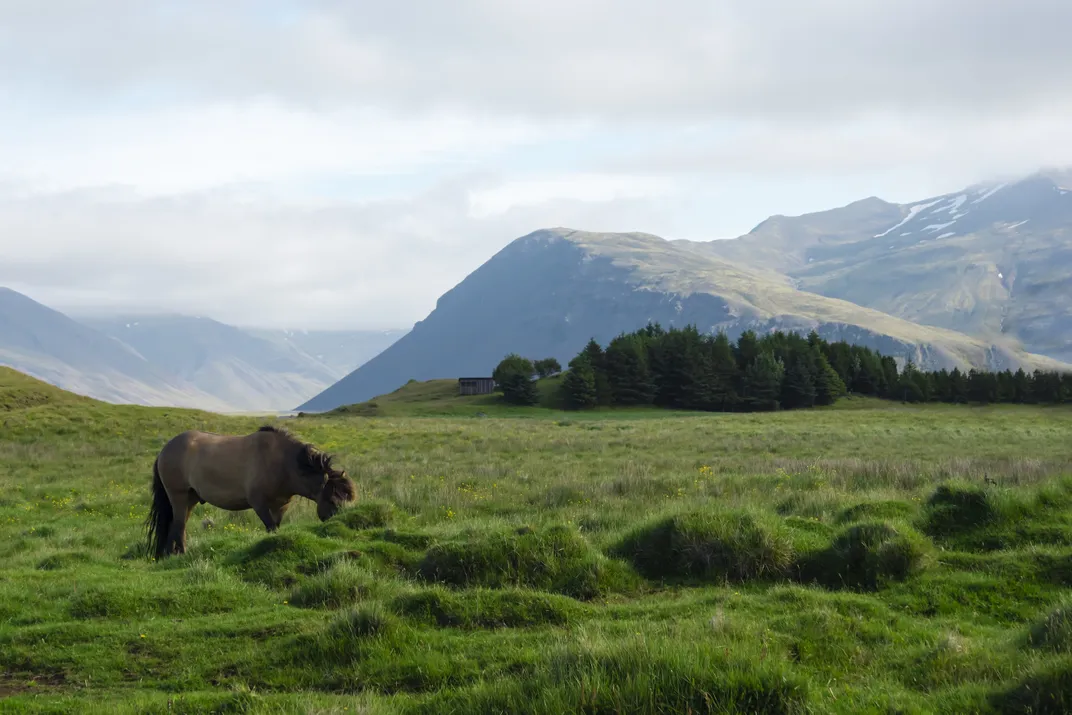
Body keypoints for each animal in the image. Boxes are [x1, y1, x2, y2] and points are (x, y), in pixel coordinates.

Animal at [144, 425, 356, 559]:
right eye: (333, 501)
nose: (338, 530)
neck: (282, 463)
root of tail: (164, 450)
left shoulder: (280, 506)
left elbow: (276, 527)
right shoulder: (259, 504)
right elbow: (271, 528)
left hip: (190, 499)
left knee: (176, 525)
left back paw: (169, 555)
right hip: (179, 496)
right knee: (179, 525)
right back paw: (181, 554)